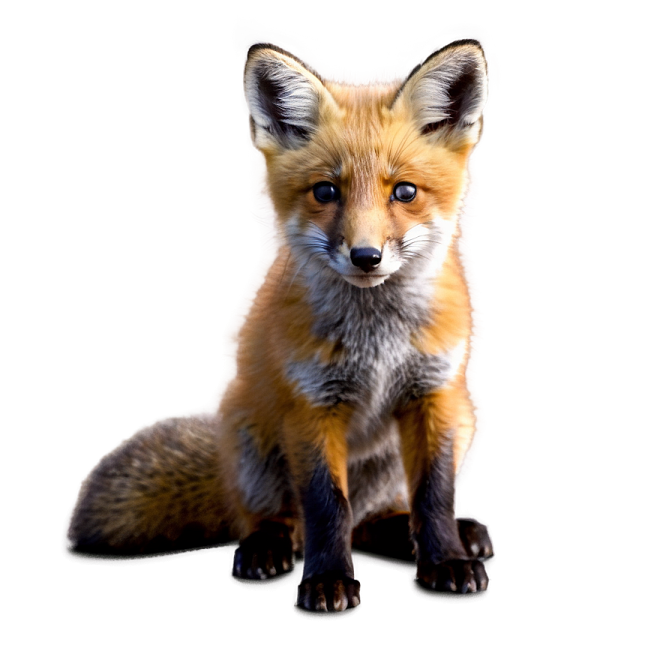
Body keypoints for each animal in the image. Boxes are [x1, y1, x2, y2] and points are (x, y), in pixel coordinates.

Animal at [63, 38, 495, 611]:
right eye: (325, 192)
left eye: (404, 192)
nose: (365, 257)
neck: (376, 341)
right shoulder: (310, 407)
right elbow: (326, 505)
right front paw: (328, 580)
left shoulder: (434, 395)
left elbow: (433, 496)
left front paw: (446, 560)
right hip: (255, 443)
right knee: (282, 518)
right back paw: (267, 548)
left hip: (448, 431)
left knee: (375, 517)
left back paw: (422, 534)